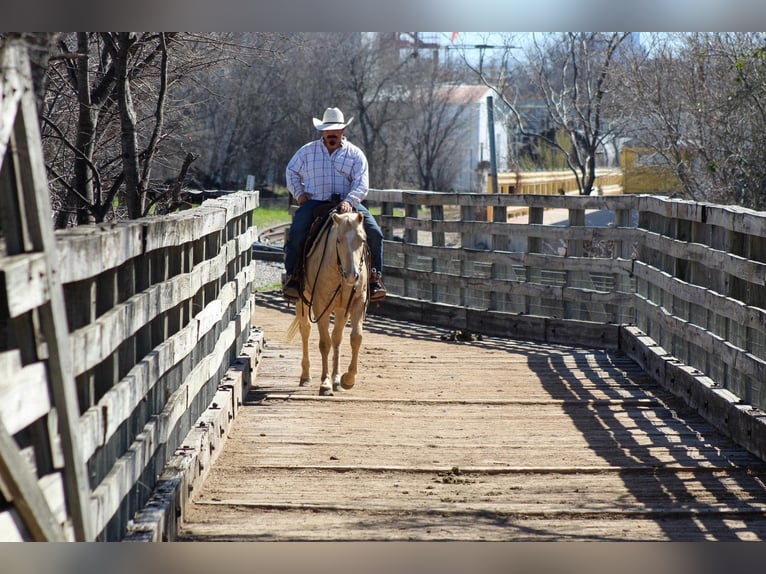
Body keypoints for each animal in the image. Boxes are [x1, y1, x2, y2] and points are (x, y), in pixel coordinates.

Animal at [286, 210, 370, 396]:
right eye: (338, 240)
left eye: (362, 239)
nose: (352, 276)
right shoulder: (320, 306)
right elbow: (324, 343)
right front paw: (325, 384)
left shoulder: (356, 303)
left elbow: (356, 338)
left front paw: (347, 379)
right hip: (303, 300)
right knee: (305, 330)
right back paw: (306, 376)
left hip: (341, 310)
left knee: (337, 338)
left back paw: (337, 379)